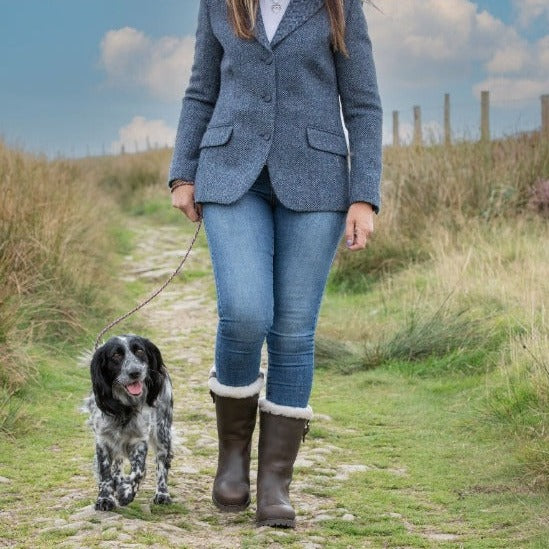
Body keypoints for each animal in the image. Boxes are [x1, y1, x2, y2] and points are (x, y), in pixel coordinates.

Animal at [84, 334, 171, 510]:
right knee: (117, 463)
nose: (135, 372)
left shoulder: (139, 440)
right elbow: (105, 472)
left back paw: (162, 493)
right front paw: (105, 498)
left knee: (162, 461)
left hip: (162, 432)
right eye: (116, 355)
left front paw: (126, 493)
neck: (124, 408)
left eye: (140, 351)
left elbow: (139, 471)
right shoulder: (103, 440)